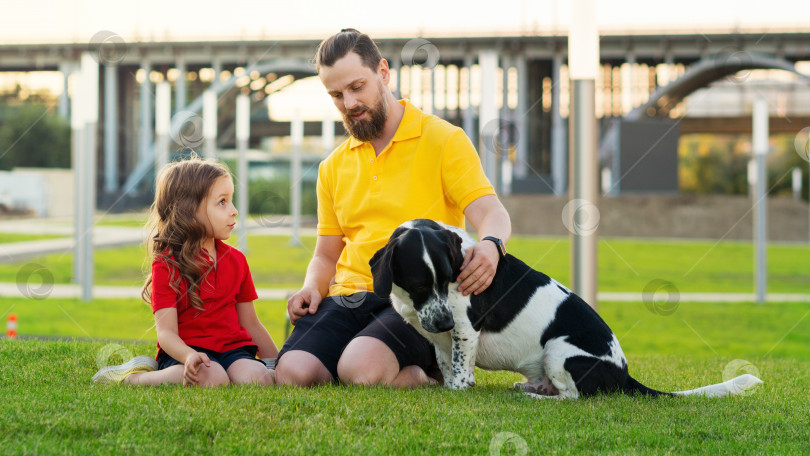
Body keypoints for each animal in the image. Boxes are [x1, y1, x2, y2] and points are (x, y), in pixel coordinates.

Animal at [370, 219, 760, 398]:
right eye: (420, 284)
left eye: (449, 279)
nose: (444, 321)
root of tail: (623, 374)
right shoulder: (440, 339)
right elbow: (448, 367)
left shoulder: (465, 330)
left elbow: (462, 373)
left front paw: (459, 392)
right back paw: (529, 389)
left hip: (559, 352)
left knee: (572, 397)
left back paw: (536, 398)